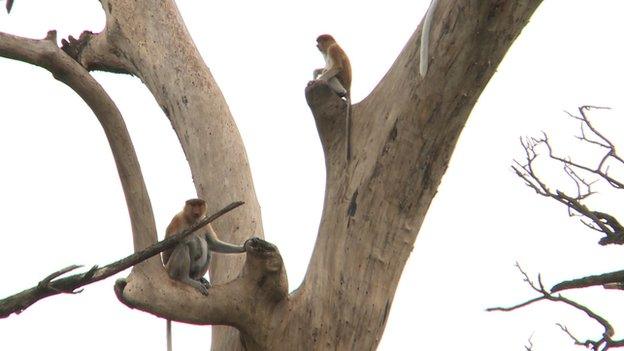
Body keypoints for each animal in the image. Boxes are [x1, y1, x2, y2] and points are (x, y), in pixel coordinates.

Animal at [162, 199, 247, 350]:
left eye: (199, 204)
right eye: (192, 204)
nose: (196, 211)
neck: (192, 221)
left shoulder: (205, 223)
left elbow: (213, 243)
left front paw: (243, 247)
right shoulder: (177, 219)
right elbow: (167, 249)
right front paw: (193, 242)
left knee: (209, 251)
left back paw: (199, 279)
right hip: (171, 265)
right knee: (183, 246)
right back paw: (186, 279)